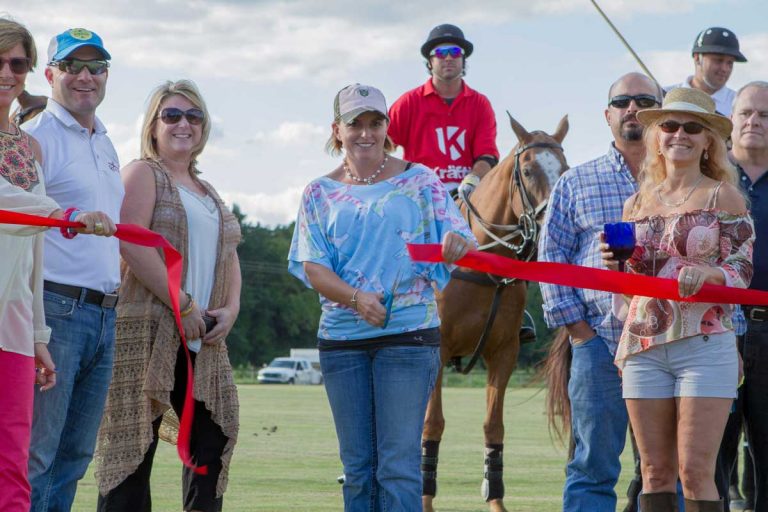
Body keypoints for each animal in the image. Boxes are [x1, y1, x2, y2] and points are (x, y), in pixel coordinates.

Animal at [426, 115, 568, 512]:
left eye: (565, 169)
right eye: (529, 169)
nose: (550, 224)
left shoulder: (504, 352)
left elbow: (494, 426)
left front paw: (496, 499)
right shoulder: (436, 351)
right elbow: (432, 423)